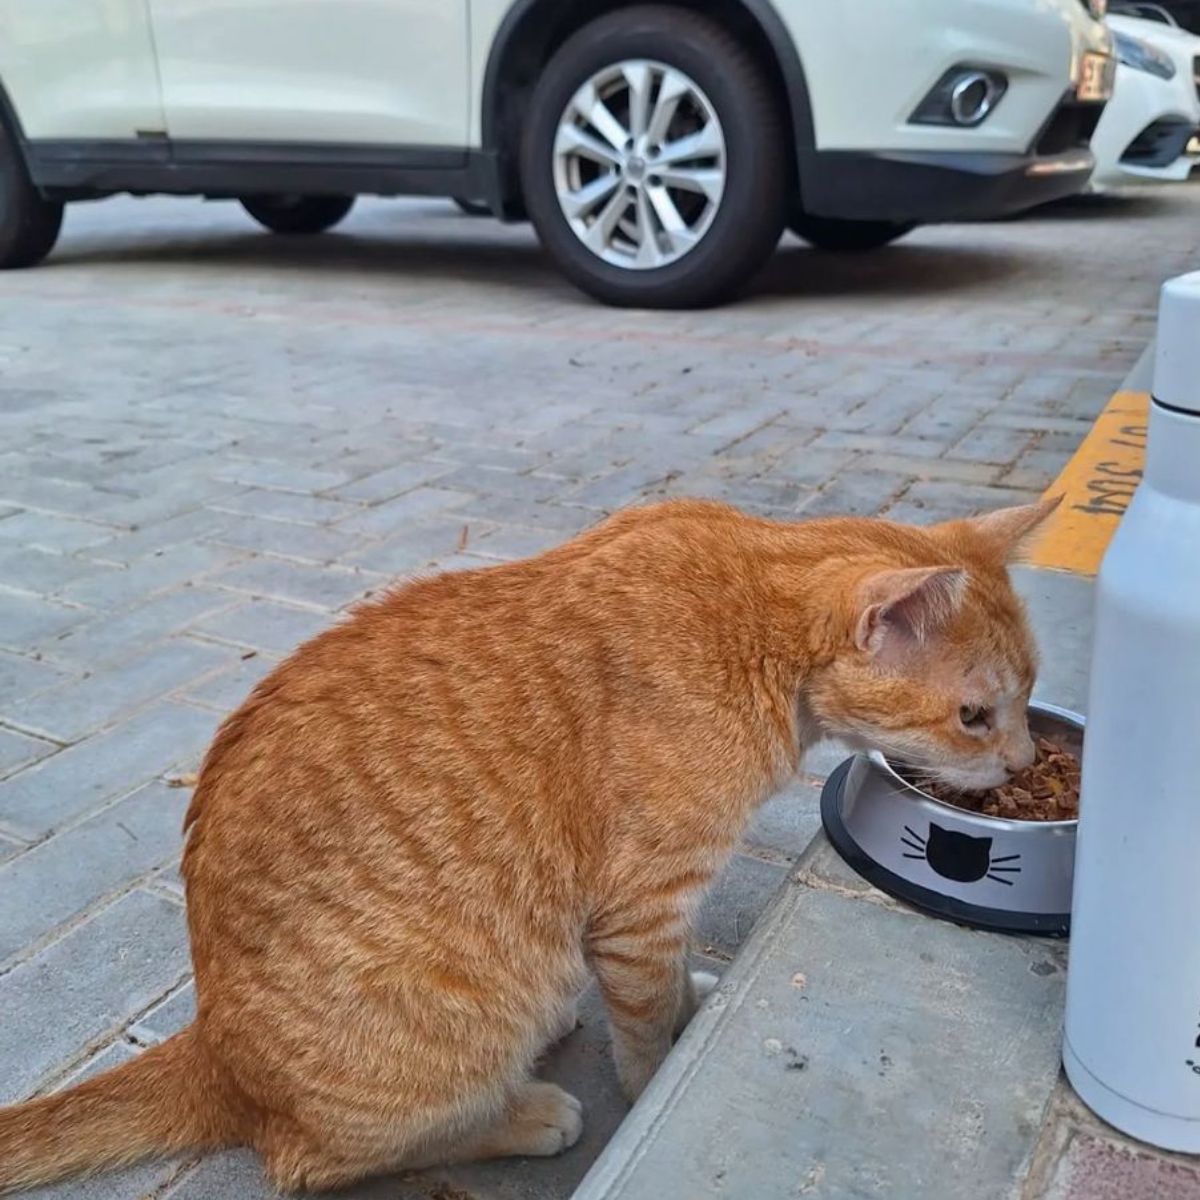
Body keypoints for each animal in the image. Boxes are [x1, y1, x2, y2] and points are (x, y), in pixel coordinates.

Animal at [0, 494, 1051, 1190]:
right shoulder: (643, 904)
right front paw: (656, 1066)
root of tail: (217, 1048)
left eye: (1028, 695)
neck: (750, 618)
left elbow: (667, 985)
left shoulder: (661, 909)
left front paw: (689, 1004)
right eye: (973, 716)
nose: (1024, 760)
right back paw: (526, 1113)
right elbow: (643, 1024)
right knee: (317, 1162)